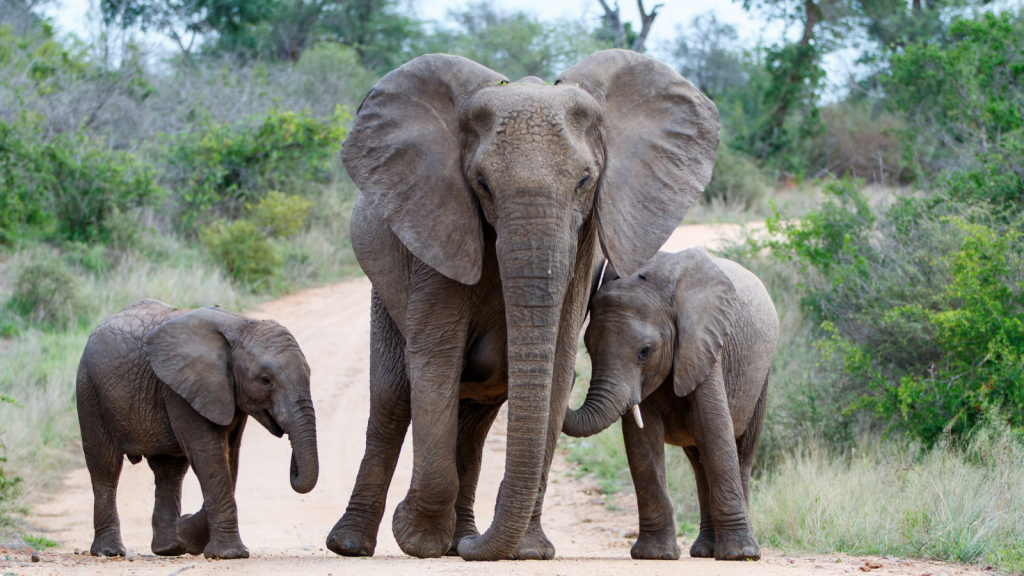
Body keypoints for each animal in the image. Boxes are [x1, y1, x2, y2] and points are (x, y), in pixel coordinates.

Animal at [76, 297, 317, 557]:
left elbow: (229, 458)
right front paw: (229, 554)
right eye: (266, 381)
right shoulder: (182, 390)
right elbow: (209, 456)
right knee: (106, 466)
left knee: (169, 470)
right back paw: (109, 551)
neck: (241, 325)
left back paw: (169, 547)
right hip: (90, 389)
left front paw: (186, 534)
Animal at [327, 50, 720, 561]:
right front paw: (418, 540)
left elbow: (557, 363)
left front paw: (528, 551)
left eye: (585, 181)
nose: (473, 545)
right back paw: (357, 545)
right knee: (393, 398)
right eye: (481, 184)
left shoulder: (583, 244)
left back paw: (458, 539)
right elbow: (435, 361)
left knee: (472, 423)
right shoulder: (439, 227)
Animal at [561, 248, 774, 561]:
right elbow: (641, 439)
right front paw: (655, 555)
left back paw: (734, 550)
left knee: (742, 453)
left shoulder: (704, 345)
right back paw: (704, 550)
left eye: (644, 352)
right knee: (699, 463)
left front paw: (740, 555)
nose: (573, 374)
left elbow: (714, 428)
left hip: (762, 378)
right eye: (589, 348)